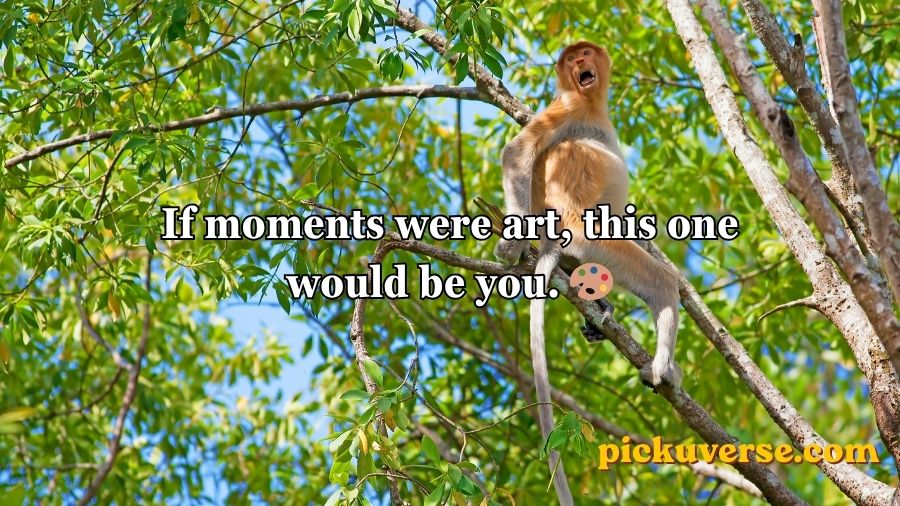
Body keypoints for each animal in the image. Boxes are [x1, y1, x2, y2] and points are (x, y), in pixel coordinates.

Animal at [495, 42, 682, 505]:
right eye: (572, 58)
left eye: (585, 53)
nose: (581, 63)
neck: (593, 106)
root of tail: (553, 237)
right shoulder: (565, 109)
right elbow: (517, 152)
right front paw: (511, 243)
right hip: (592, 237)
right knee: (663, 284)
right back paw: (662, 368)